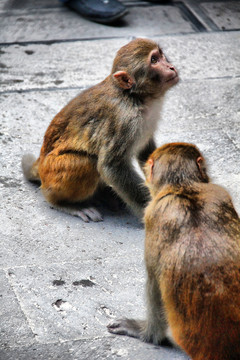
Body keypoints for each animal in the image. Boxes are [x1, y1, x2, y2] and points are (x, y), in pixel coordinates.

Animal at [21, 38, 178, 221]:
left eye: (161, 55)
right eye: (154, 60)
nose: (170, 67)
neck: (135, 97)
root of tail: (40, 162)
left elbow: (146, 151)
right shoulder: (124, 121)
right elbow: (111, 166)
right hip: (52, 172)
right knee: (88, 163)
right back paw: (65, 203)